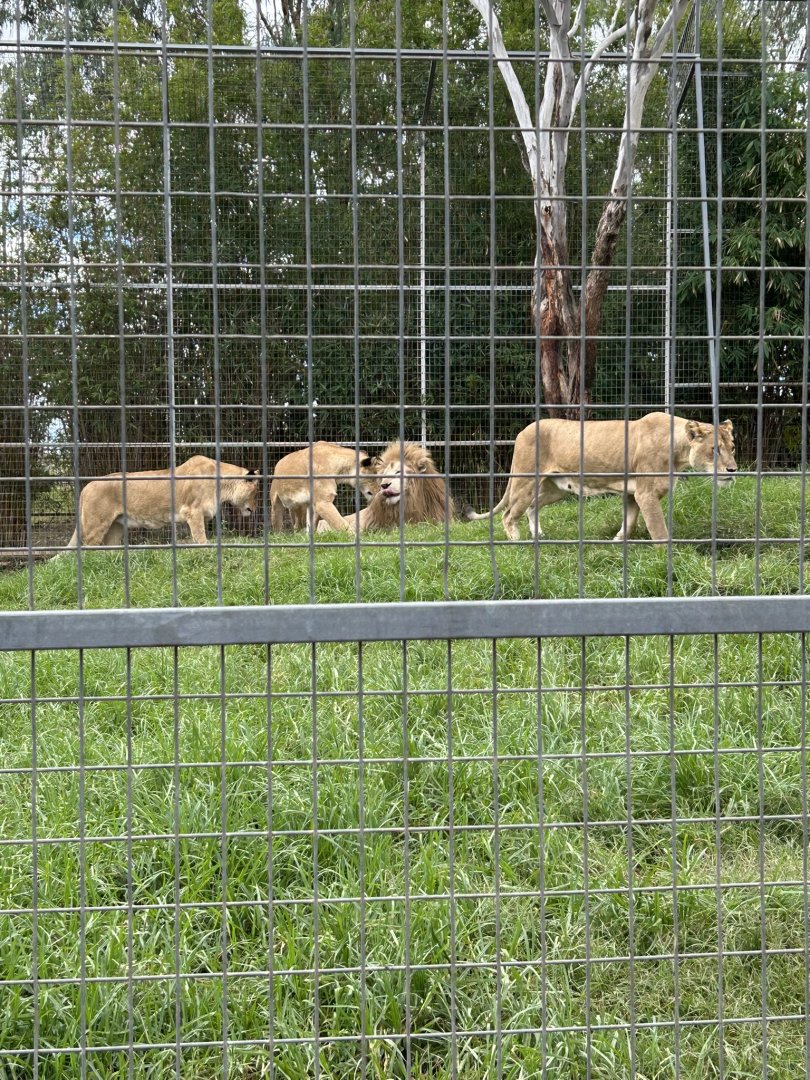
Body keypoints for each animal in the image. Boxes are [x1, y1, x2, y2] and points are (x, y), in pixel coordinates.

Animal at [62, 455, 260, 552]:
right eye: (255, 492)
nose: (254, 510)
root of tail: (86, 486)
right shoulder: (192, 511)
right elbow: (201, 539)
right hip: (95, 526)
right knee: (88, 548)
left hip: (115, 527)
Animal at [464, 413, 737, 543]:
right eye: (715, 449)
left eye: (732, 448)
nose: (733, 470)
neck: (678, 449)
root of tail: (523, 431)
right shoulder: (645, 494)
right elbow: (658, 530)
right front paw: (666, 556)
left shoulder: (632, 493)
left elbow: (630, 523)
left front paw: (617, 541)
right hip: (525, 481)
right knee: (509, 514)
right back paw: (518, 543)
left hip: (556, 488)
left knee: (532, 507)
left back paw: (538, 536)